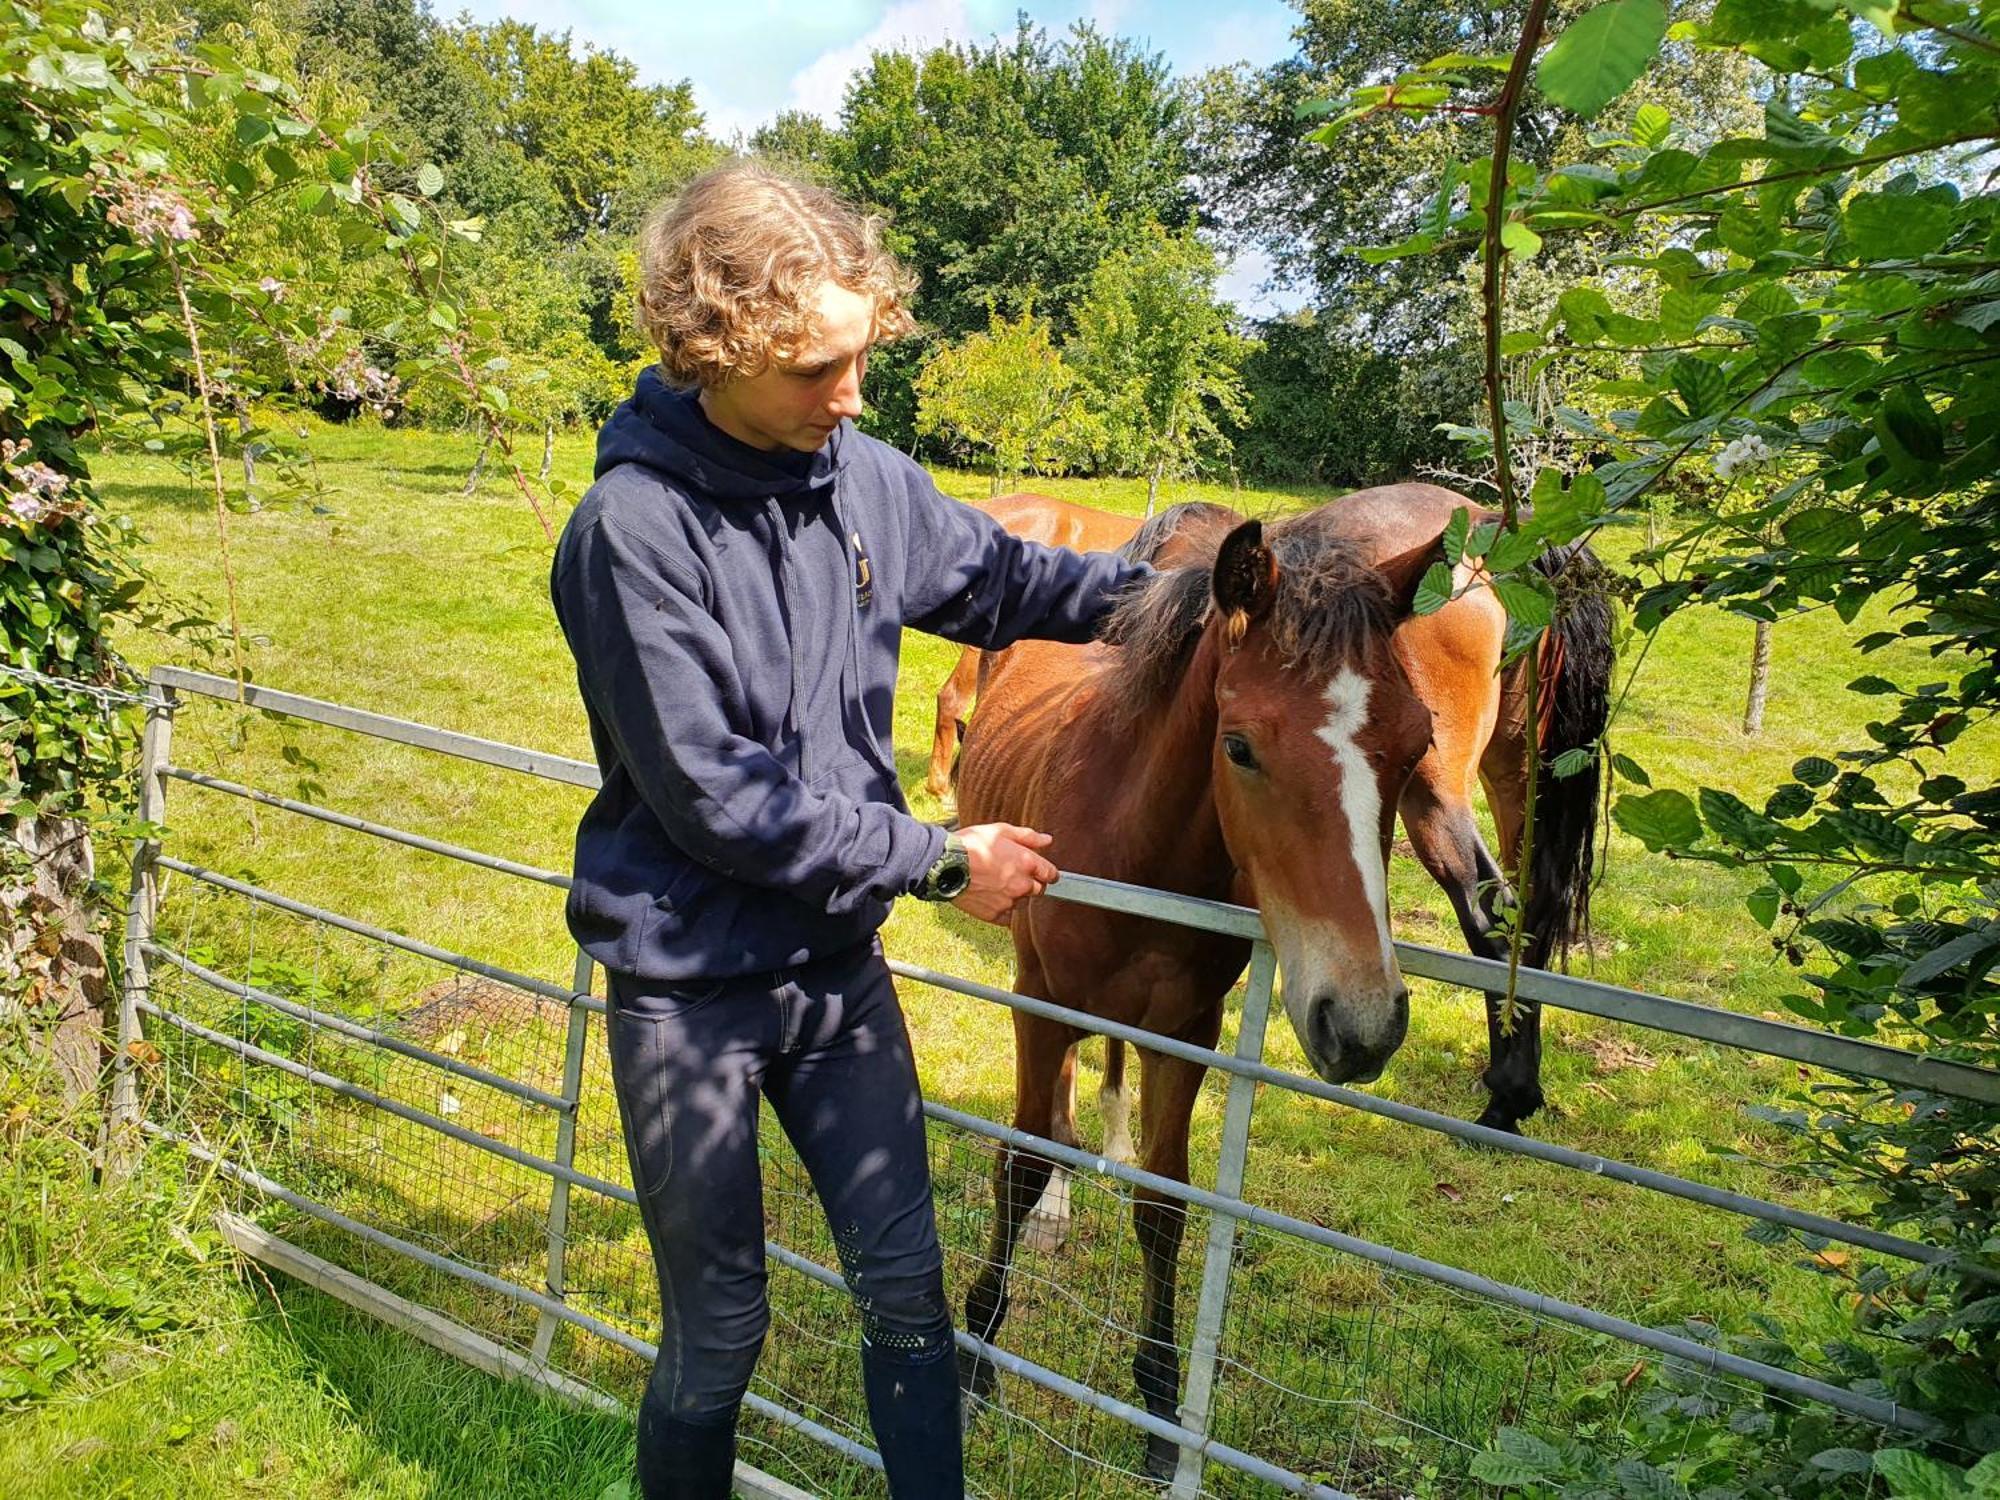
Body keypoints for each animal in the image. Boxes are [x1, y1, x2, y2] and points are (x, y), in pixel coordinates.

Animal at [944, 484, 1616, 1480]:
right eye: (1239, 747)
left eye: (1409, 741)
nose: (1365, 1022)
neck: (1131, 837)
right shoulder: (1040, 1001)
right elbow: (1020, 1163)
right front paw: (978, 1352)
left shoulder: (1186, 1031)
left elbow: (1166, 1204)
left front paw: (1158, 1409)